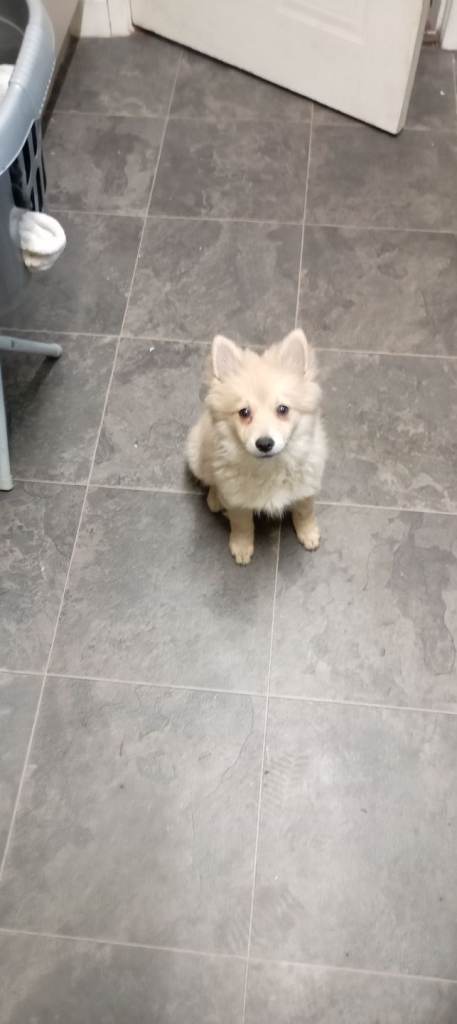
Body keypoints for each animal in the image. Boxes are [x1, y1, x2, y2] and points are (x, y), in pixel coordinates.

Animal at [186, 328, 327, 564]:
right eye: (244, 412)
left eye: (282, 409)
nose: (264, 444)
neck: (270, 468)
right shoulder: (237, 498)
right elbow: (241, 523)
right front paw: (241, 547)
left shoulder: (306, 484)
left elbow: (304, 511)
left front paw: (309, 534)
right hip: (197, 455)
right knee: (211, 480)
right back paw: (215, 498)